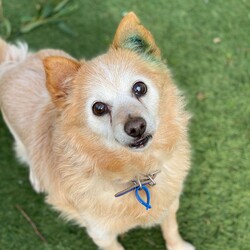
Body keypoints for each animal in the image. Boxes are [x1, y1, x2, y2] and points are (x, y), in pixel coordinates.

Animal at [0, 12, 195, 250]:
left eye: (140, 88)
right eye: (98, 108)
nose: (136, 127)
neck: (137, 173)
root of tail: (15, 62)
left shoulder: (170, 202)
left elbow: (171, 227)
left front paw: (178, 245)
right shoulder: (102, 234)